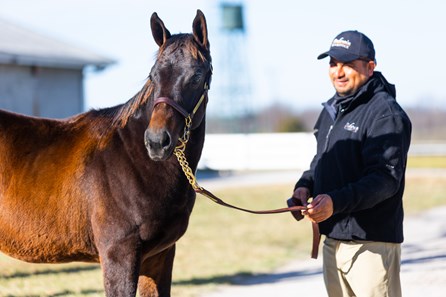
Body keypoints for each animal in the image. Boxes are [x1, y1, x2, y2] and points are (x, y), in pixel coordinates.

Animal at [0, 9, 212, 296]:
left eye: (197, 76)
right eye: (153, 76)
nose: (157, 141)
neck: (135, 160)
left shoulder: (159, 256)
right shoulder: (118, 255)